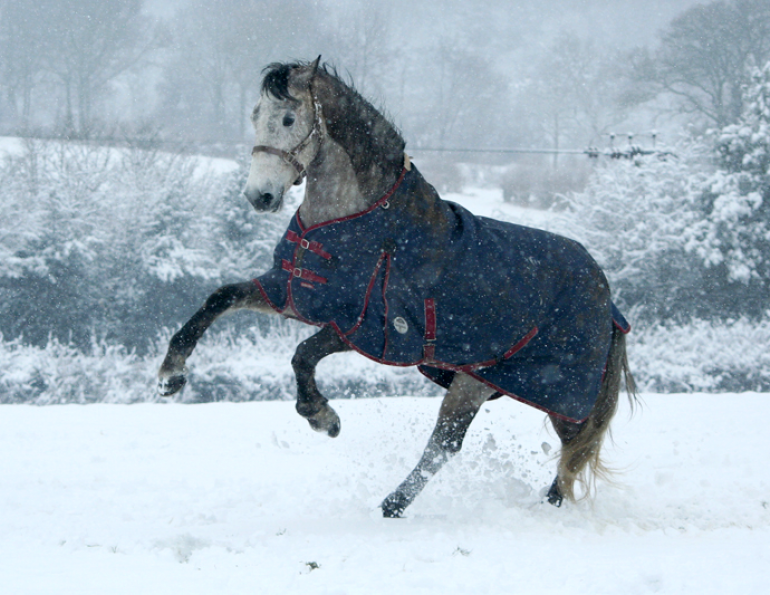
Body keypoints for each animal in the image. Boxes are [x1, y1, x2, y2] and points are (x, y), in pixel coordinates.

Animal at [157, 58, 636, 518]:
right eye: (256, 116)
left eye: (290, 118)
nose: (260, 196)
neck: (361, 223)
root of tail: (606, 296)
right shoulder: (292, 294)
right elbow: (219, 298)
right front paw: (170, 376)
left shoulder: (370, 327)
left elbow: (302, 355)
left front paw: (323, 417)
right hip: (477, 379)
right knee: (460, 444)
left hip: (547, 390)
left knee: (554, 449)